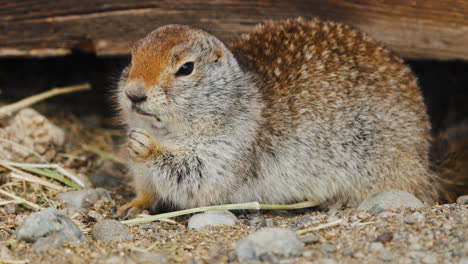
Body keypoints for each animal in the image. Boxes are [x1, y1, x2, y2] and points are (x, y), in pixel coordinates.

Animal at [115, 17, 466, 218]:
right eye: (131, 57)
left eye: (185, 68)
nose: (134, 94)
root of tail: (426, 161)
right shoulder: (142, 172)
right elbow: (146, 185)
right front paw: (133, 204)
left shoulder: (231, 147)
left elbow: (195, 173)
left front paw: (147, 146)